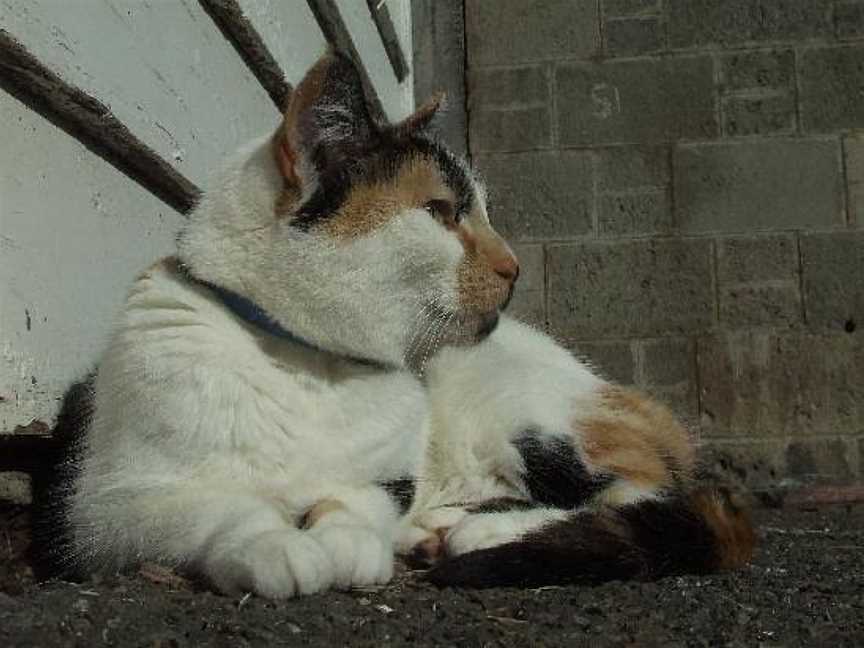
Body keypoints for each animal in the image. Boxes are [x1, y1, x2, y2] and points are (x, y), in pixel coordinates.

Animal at [54, 50, 752, 596]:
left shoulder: (387, 478)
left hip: (524, 408)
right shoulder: (108, 507)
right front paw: (275, 545)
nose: (515, 266)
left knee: (643, 491)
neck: (312, 365)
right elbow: (219, 506)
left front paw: (348, 543)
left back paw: (480, 532)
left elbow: (351, 502)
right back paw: (434, 528)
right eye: (441, 212)